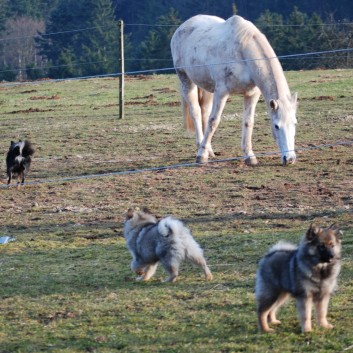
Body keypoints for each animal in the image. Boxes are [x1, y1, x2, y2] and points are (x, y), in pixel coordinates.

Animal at [170, 14, 296, 166]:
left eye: (295, 123)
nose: (290, 159)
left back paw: (210, 150)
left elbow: (248, 122)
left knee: (204, 112)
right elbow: (214, 121)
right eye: (276, 126)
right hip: (186, 80)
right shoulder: (221, 92)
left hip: (207, 88)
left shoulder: (252, 94)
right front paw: (201, 156)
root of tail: (182, 27)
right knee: (196, 112)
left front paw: (250, 156)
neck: (243, 51)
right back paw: (201, 146)